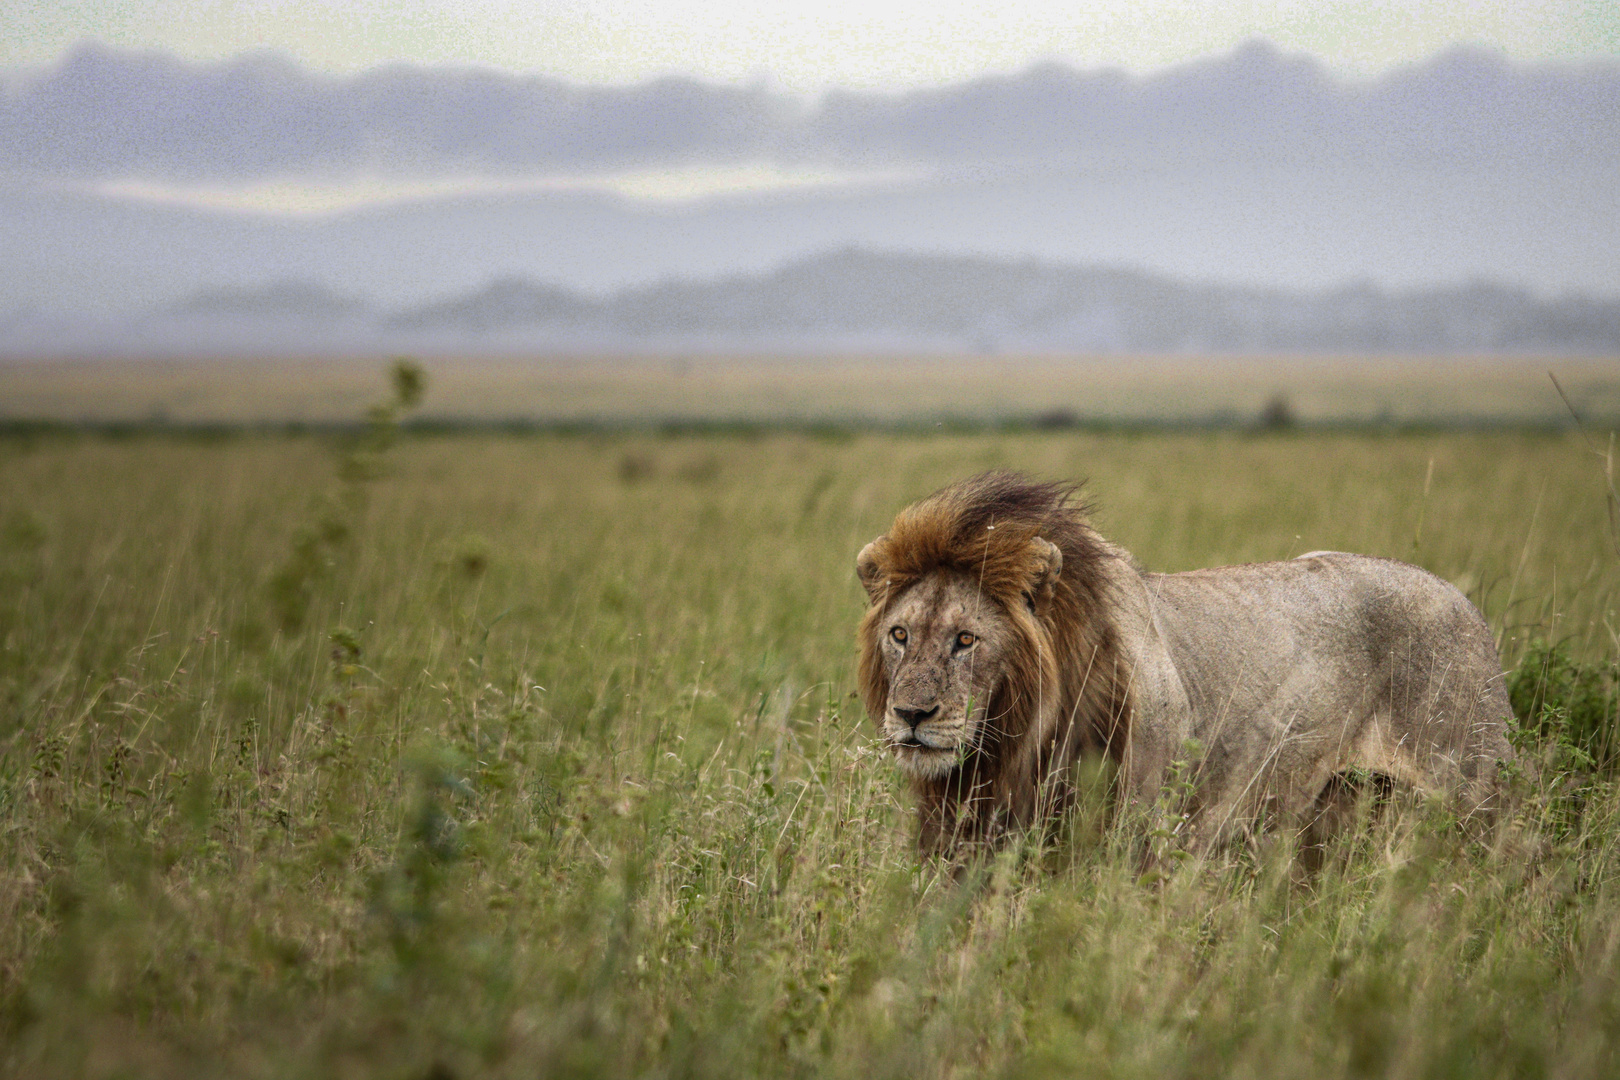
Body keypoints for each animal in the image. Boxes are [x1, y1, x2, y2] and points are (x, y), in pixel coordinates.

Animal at [861, 469, 1516, 854]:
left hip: (1468, 787)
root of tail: (1468, 605)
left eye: (966, 640)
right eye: (900, 634)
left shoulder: (1136, 824)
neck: (1016, 738)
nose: (911, 715)